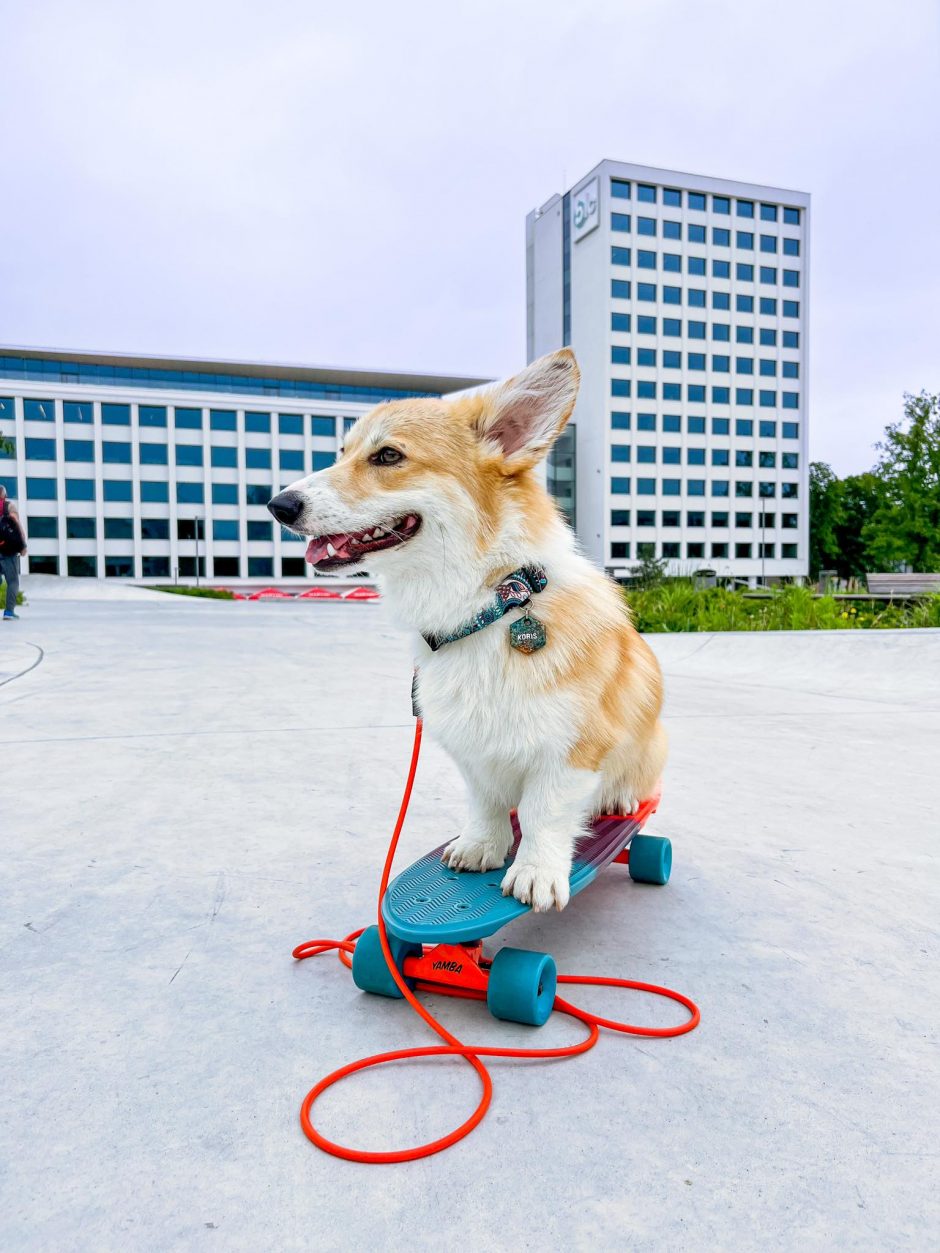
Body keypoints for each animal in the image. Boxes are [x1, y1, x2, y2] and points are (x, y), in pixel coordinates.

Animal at [270, 350, 671, 912]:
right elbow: (485, 800)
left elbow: (545, 811)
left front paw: (535, 873)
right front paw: (482, 846)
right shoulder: (472, 746)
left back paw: (622, 797)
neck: (491, 605)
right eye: (342, 453)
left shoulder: (572, 747)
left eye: (388, 456)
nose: (278, 506)